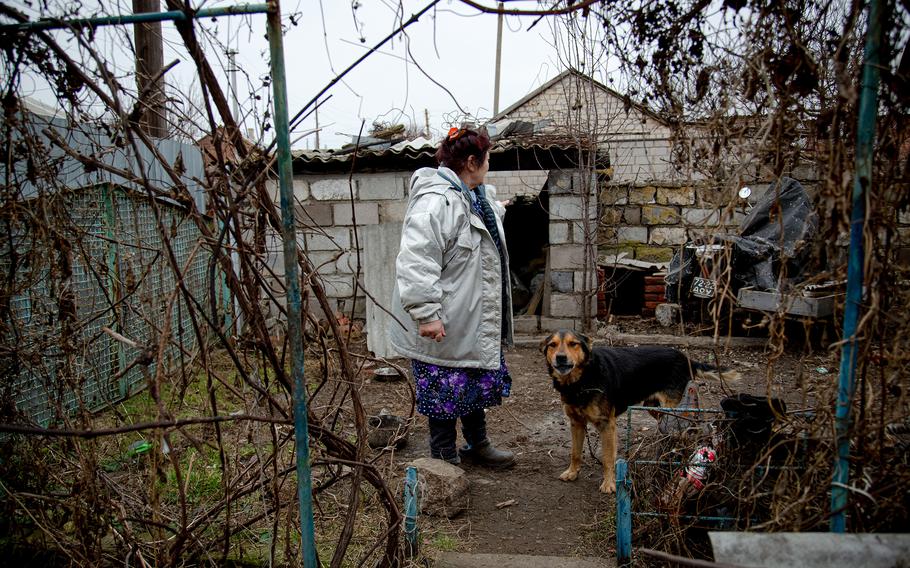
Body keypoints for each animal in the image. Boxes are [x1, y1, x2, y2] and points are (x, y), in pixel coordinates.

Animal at [540, 328, 740, 492]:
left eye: (573, 344)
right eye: (552, 345)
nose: (560, 357)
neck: (582, 380)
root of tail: (685, 358)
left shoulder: (607, 425)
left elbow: (608, 458)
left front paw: (609, 484)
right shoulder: (576, 423)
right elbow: (575, 453)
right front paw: (572, 473)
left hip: (677, 408)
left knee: (693, 424)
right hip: (656, 408)